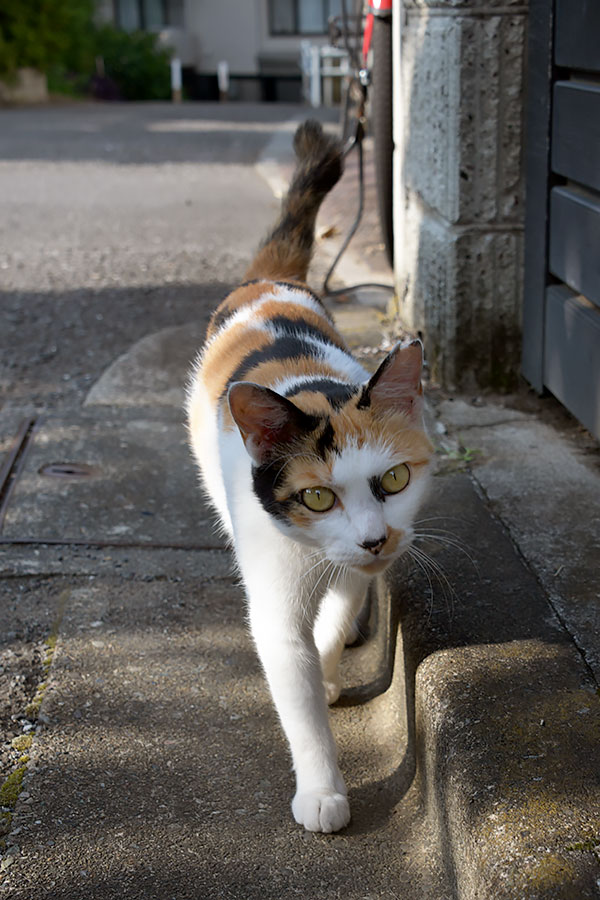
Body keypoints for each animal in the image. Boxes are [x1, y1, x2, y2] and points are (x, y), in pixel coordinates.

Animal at [186, 121, 432, 836]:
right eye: (316, 496)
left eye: (395, 479)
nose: (376, 540)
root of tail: (269, 280)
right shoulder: (274, 594)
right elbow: (294, 692)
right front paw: (323, 790)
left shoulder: (360, 567)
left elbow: (338, 613)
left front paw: (327, 665)